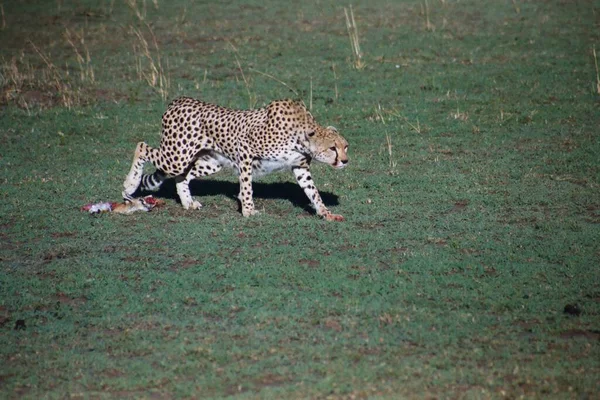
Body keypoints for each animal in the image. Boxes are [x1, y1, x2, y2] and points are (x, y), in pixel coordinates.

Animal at [122, 97, 346, 222]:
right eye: (332, 148)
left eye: (345, 147)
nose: (345, 161)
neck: (301, 136)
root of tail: (178, 101)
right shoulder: (244, 150)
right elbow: (246, 186)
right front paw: (248, 210)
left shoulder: (300, 166)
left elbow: (313, 192)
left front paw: (325, 213)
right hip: (176, 156)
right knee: (141, 146)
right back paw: (130, 184)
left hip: (211, 162)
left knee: (182, 177)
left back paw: (188, 203)